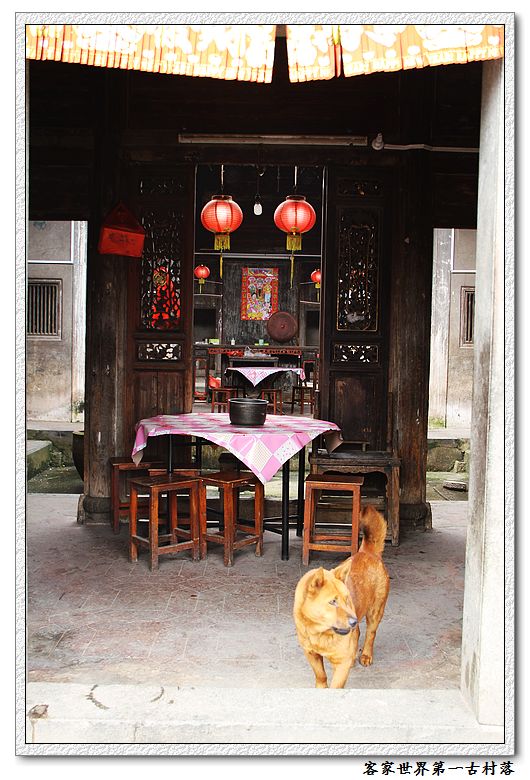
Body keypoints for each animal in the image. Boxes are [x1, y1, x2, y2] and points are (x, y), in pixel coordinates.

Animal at [293, 505, 390, 688]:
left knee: (370, 633)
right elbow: (321, 676)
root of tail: (368, 552)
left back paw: (366, 655)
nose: (352, 621)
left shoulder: (341, 661)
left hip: (375, 611)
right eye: (332, 602)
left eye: (347, 599)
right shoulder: (311, 654)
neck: (320, 633)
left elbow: (335, 685)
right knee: (358, 632)